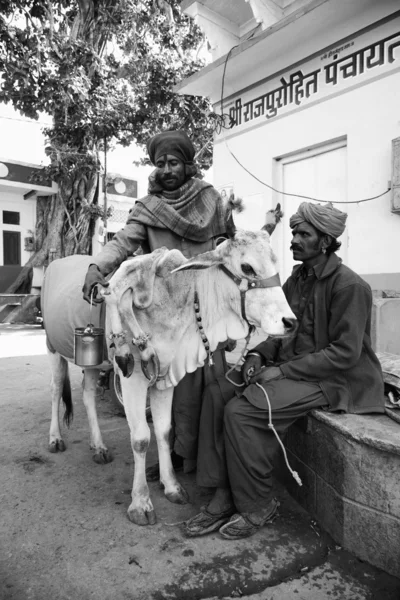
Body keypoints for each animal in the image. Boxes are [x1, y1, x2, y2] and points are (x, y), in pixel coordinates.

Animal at [41, 210, 296, 524]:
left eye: (275, 261)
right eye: (247, 266)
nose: (290, 322)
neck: (178, 298)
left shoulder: (165, 376)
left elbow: (163, 431)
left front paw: (172, 486)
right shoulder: (133, 378)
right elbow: (141, 438)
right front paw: (140, 503)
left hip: (92, 360)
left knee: (88, 394)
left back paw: (98, 446)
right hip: (53, 347)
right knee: (55, 390)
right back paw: (55, 439)